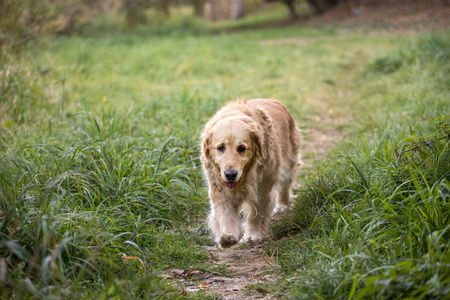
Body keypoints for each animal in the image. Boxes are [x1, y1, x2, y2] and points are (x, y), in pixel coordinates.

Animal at [200, 99, 298, 248]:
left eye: (242, 148)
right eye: (220, 147)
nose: (230, 174)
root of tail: (275, 101)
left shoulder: (262, 187)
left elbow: (255, 214)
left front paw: (252, 235)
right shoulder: (219, 188)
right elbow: (226, 213)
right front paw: (228, 236)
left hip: (288, 164)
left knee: (285, 186)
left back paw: (283, 205)